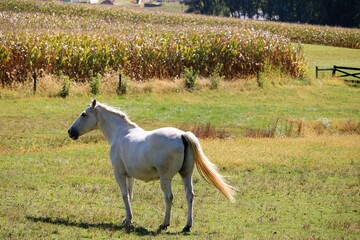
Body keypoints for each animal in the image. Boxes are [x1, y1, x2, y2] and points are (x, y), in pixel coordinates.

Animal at [68, 99, 236, 232]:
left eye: (84, 114)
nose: (70, 132)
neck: (120, 133)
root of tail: (182, 135)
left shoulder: (119, 174)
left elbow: (124, 195)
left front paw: (128, 220)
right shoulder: (130, 176)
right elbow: (130, 195)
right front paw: (127, 219)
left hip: (165, 178)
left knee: (169, 197)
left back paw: (164, 224)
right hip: (186, 175)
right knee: (190, 196)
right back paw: (187, 226)